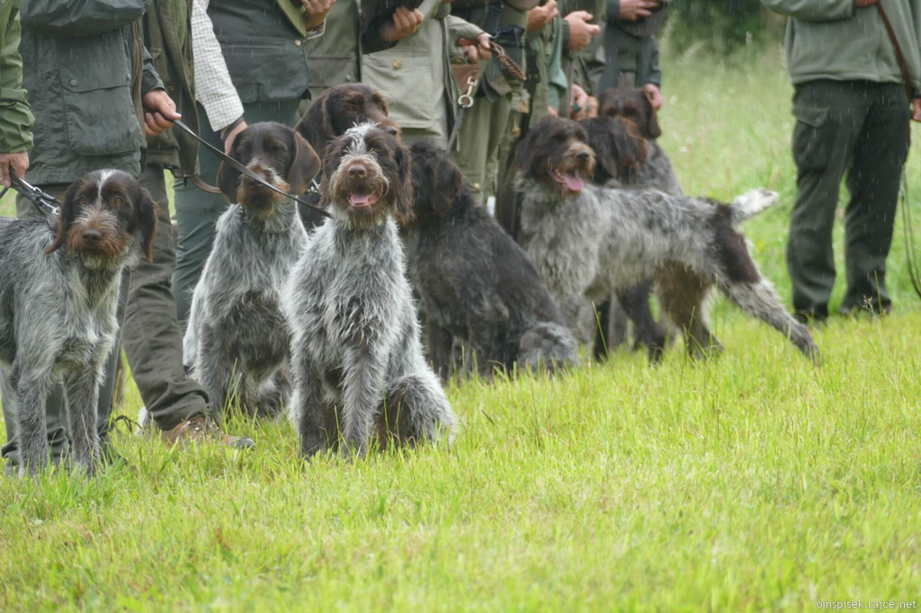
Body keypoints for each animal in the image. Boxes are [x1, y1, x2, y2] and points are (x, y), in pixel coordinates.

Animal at [181, 120, 322, 416]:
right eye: (241, 153)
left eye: (277, 149)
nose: (255, 179)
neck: (267, 232)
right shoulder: (215, 321)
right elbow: (211, 381)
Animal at [280, 122, 452, 456]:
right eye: (344, 151)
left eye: (378, 151)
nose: (357, 170)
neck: (352, 244)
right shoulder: (307, 339)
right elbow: (309, 409)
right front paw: (308, 456)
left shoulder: (366, 342)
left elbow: (359, 404)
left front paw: (354, 456)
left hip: (415, 386)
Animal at [400, 140, 576, 378]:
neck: (441, 228)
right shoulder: (435, 313)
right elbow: (439, 359)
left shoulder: (483, 310)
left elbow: (475, 359)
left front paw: (471, 382)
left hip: (535, 335)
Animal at [512, 116, 816, 358]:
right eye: (556, 139)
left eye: (582, 139)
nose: (583, 155)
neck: (553, 208)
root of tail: (722, 211)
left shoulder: (570, 289)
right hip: (679, 297)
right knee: (708, 344)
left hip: (742, 282)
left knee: (798, 329)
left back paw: (815, 364)